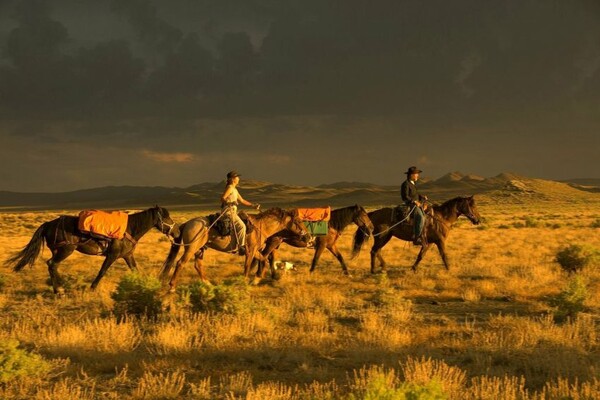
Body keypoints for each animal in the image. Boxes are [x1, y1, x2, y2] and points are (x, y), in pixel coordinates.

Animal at [5, 206, 178, 294]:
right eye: (166, 217)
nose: (176, 233)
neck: (129, 229)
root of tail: (48, 224)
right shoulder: (113, 255)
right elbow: (102, 271)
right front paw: (92, 288)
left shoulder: (127, 255)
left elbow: (135, 270)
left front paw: (144, 285)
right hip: (66, 250)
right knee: (52, 264)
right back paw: (60, 289)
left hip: (58, 250)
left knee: (52, 265)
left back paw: (58, 288)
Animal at [161, 208, 304, 290]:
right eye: (298, 221)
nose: (306, 236)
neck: (260, 226)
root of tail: (187, 223)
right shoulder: (250, 251)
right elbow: (247, 266)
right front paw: (245, 282)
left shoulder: (255, 251)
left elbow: (263, 259)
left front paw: (257, 279)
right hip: (191, 248)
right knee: (180, 263)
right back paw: (172, 286)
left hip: (200, 249)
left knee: (197, 265)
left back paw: (208, 284)